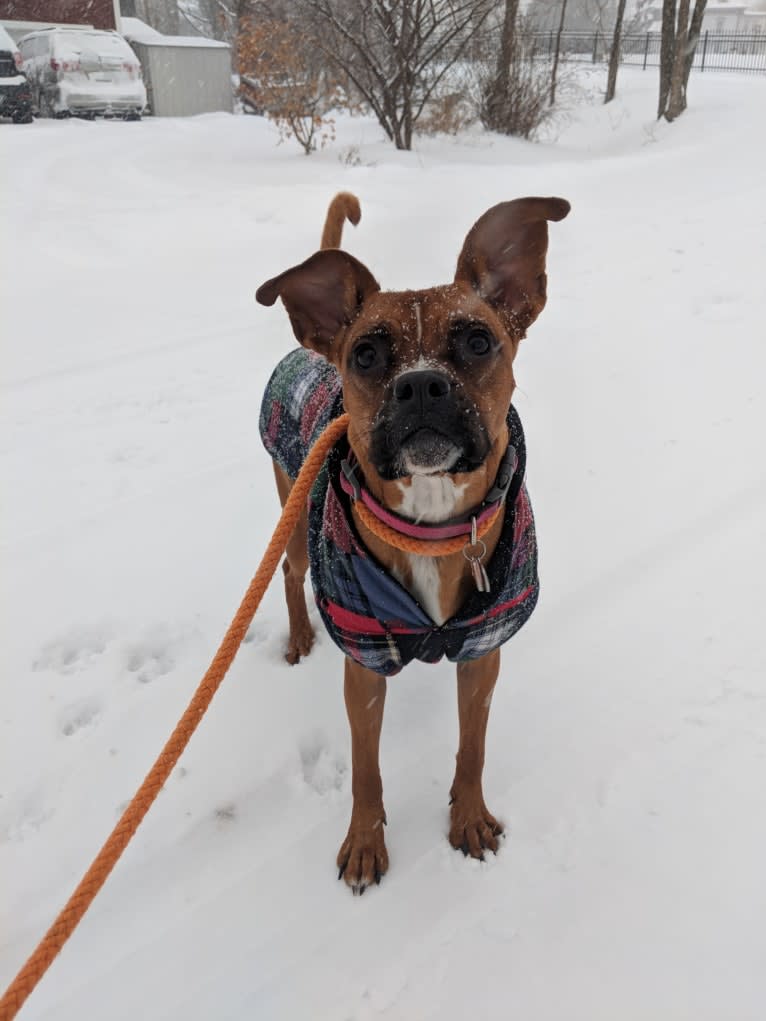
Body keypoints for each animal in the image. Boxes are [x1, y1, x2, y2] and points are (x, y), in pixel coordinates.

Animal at [258, 192, 571, 894]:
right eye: (367, 355)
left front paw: (470, 819)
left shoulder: (482, 653)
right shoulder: (365, 670)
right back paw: (298, 637)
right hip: (293, 513)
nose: (421, 384)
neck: (432, 523)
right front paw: (365, 843)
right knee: (289, 574)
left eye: (478, 340)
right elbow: (365, 771)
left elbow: (472, 748)